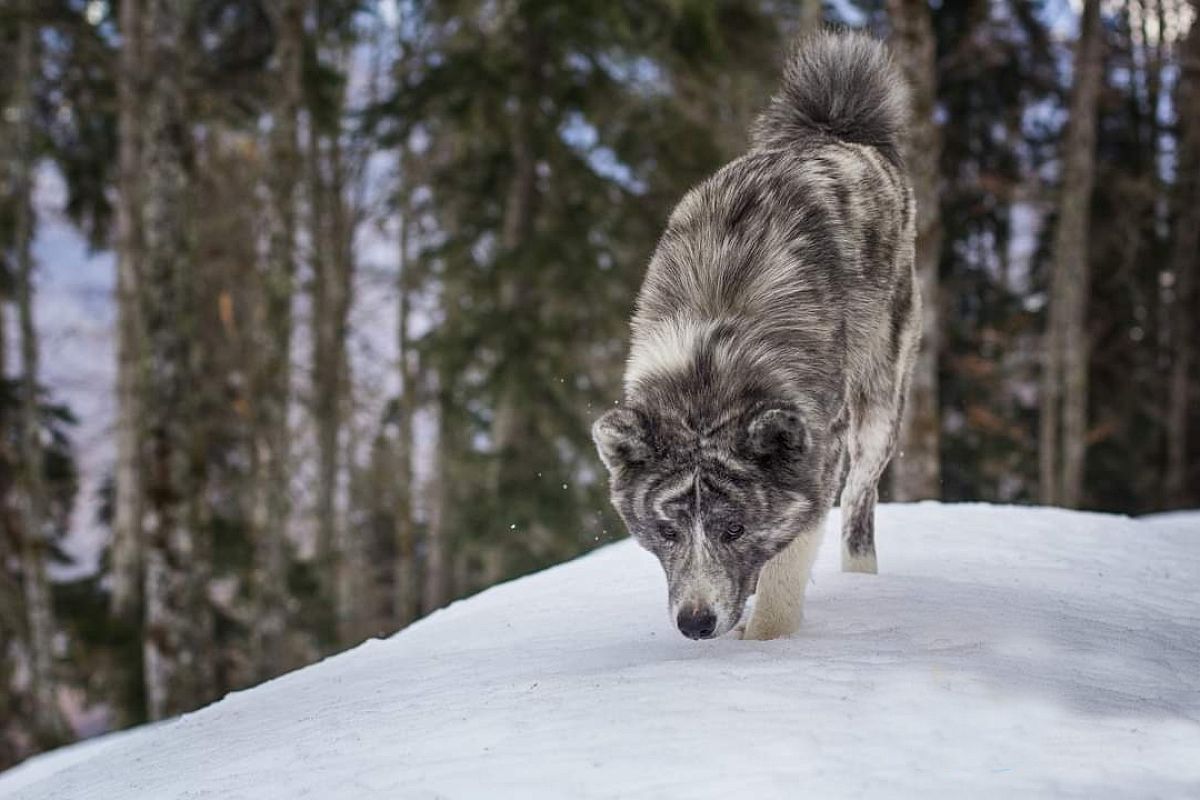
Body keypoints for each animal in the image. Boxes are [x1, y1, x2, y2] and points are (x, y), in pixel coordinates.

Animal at [590, 31, 916, 642]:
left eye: (735, 529)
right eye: (667, 533)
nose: (696, 624)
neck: (711, 360)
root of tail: (834, 131)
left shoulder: (819, 456)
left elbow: (787, 563)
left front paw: (767, 644)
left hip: (880, 404)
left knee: (860, 501)